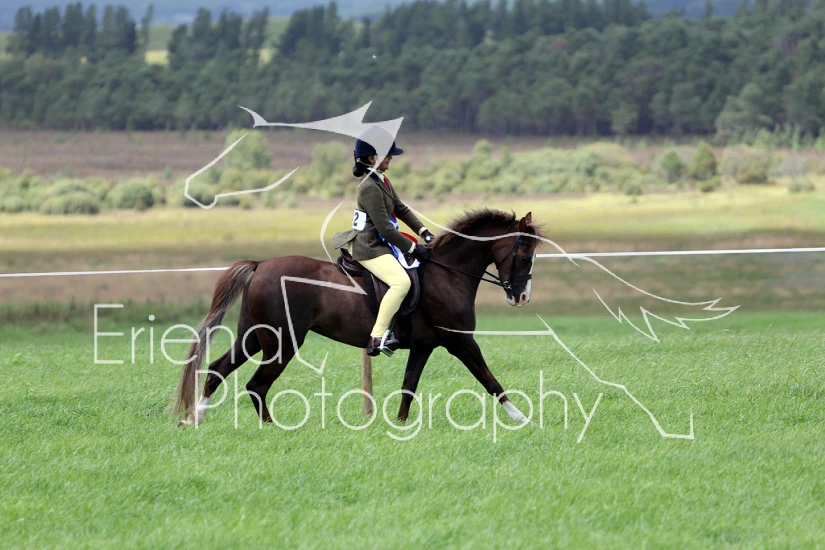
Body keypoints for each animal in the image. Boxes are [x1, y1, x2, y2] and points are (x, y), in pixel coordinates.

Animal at [171, 209, 542, 427]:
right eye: (525, 254)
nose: (522, 297)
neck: (447, 272)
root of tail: (261, 265)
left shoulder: (424, 346)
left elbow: (409, 386)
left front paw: (400, 425)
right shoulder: (460, 341)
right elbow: (490, 380)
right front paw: (522, 418)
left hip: (254, 336)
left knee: (217, 369)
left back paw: (195, 420)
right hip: (282, 343)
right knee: (257, 384)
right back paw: (270, 428)